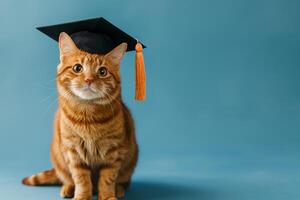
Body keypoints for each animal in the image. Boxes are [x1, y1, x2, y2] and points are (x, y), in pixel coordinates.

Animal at [22, 32, 139, 200]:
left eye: (102, 72)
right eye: (78, 68)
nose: (89, 80)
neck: (88, 118)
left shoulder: (113, 152)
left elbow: (108, 179)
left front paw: (108, 196)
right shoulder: (73, 152)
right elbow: (81, 179)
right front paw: (82, 196)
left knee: (123, 181)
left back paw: (119, 190)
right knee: (67, 178)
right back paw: (68, 188)